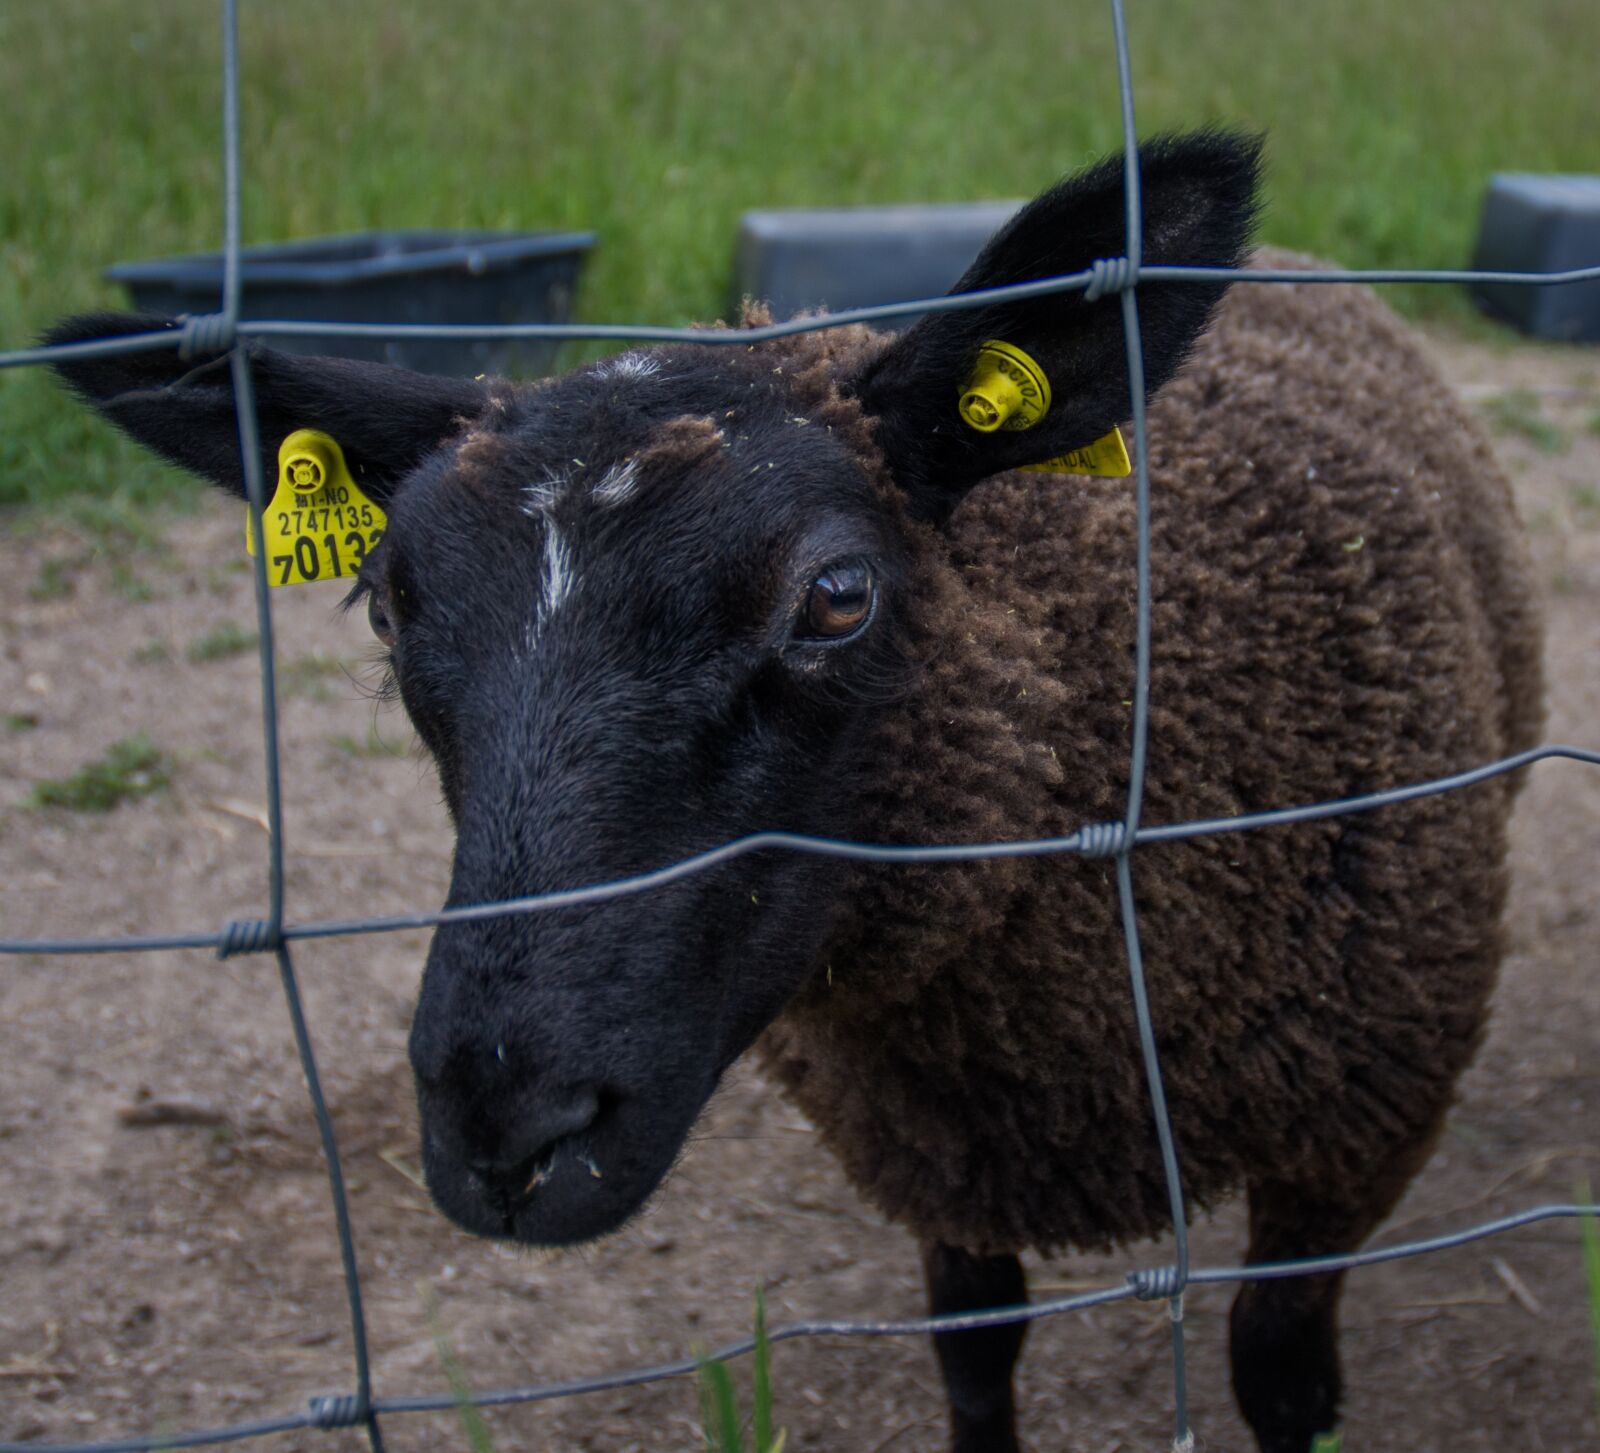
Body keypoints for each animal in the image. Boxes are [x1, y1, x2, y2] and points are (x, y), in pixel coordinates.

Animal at [49, 130, 1543, 1453]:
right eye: (385, 611)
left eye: (835, 595)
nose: (507, 1134)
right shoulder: (940, 1159)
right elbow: (973, 1356)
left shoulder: (1355, 1135)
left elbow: (1279, 1379)